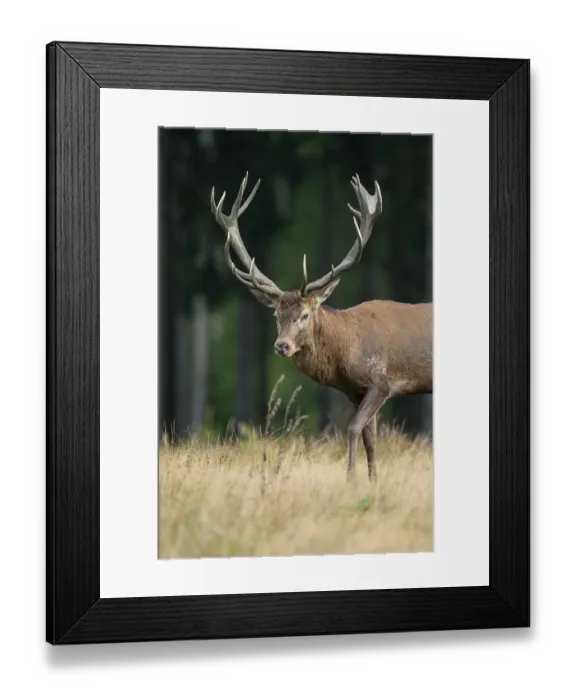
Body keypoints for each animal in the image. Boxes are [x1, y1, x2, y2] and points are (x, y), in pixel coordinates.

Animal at [210, 172, 432, 482]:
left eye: (304, 315)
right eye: (275, 315)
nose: (282, 345)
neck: (348, 347)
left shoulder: (381, 381)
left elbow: (353, 428)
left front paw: (350, 478)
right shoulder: (356, 391)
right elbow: (371, 439)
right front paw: (372, 481)